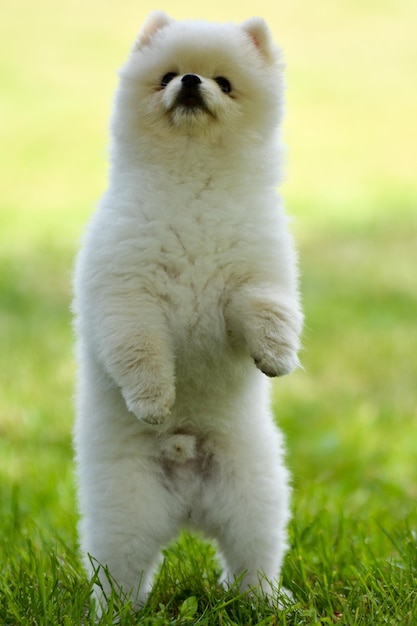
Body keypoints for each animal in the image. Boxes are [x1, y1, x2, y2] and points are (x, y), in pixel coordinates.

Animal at [73, 9, 302, 608]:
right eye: (167, 76)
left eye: (224, 81)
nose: (193, 82)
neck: (193, 182)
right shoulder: (127, 294)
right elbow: (140, 350)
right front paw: (154, 402)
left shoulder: (253, 277)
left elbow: (269, 310)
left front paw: (276, 357)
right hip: (123, 511)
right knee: (120, 572)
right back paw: (114, 614)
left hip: (255, 496)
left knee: (254, 559)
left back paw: (268, 602)